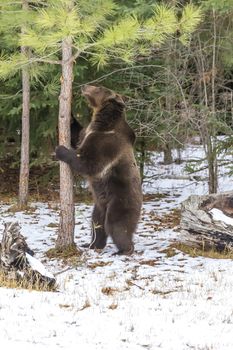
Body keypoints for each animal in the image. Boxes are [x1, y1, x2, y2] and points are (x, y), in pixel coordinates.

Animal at [56, 85, 142, 254]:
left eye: (99, 87)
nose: (84, 85)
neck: (103, 124)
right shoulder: (88, 132)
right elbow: (77, 136)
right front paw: (68, 114)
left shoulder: (106, 143)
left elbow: (89, 163)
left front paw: (60, 150)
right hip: (99, 205)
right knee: (97, 223)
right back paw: (93, 244)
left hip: (121, 200)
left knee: (116, 225)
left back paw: (123, 250)